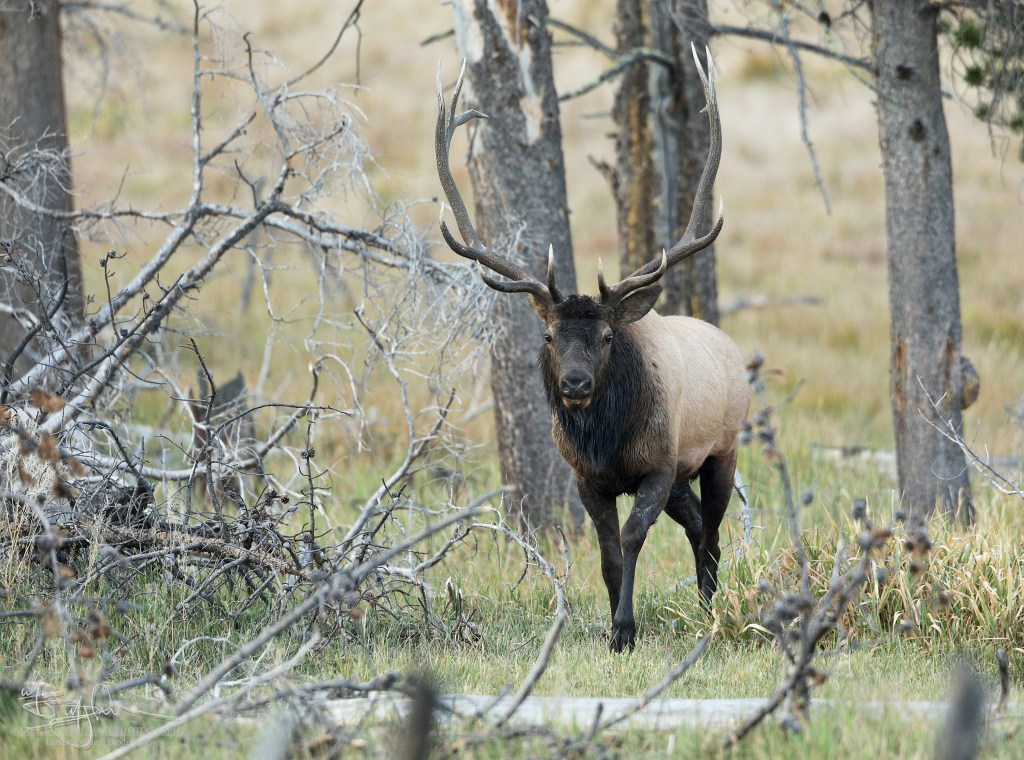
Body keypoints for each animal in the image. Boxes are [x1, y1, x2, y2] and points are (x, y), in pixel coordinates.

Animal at [436, 47, 751, 652]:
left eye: (606, 338)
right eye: (550, 336)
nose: (576, 384)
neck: (608, 441)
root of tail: (732, 350)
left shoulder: (657, 466)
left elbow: (631, 539)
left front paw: (625, 630)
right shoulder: (588, 479)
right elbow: (606, 554)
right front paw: (611, 624)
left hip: (720, 450)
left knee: (714, 529)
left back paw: (711, 609)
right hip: (684, 475)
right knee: (700, 525)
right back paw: (704, 604)